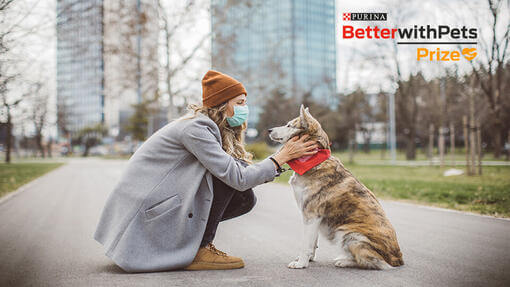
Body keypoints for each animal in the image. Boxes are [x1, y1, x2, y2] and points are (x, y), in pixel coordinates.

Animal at [268, 105, 404, 270]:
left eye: (289, 125)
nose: (269, 130)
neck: (313, 160)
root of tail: (398, 260)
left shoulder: (311, 215)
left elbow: (305, 244)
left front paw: (301, 263)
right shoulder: (313, 218)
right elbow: (312, 242)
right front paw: (309, 259)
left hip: (348, 234)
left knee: (373, 262)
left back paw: (344, 261)